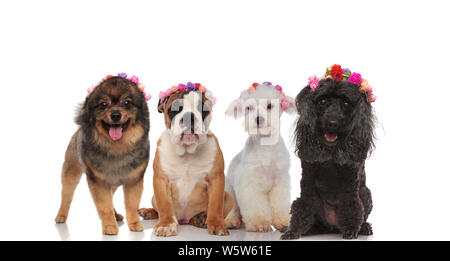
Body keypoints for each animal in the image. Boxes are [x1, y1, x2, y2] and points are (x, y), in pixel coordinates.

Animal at [54, 74, 149, 234]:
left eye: (127, 103)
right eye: (103, 104)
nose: (116, 115)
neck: (117, 148)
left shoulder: (134, 180)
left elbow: (131, 205)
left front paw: (134, 224)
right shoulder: (98, 182)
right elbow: (104, 206)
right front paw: (109, 226)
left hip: (113, 183)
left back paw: (116, 215)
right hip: (71, 174)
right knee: (66, 196)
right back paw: (61, 216)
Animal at [225, 82, 296, 231]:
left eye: (269, 106)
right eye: (249, 108)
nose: (258, 119)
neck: (266, 146)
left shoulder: (280, 181)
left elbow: (280, 203)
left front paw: (283, 221)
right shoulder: (249, 183)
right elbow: (255, 206)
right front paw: (259, 222)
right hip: (228, 192)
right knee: (231, 210)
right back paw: (231, 221)